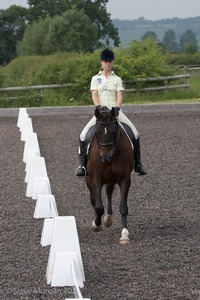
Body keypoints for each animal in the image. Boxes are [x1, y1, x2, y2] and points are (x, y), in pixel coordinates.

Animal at [85, 106, 134, 243]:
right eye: (97, 131)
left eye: (113, 131)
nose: (105, 158)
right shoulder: (96, 179)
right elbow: (98, 207)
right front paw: (96, 225)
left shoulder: (124, 179)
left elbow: (123, 207)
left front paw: (124, 234)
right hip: (88, 179)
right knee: (93, 198)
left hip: (111, 179)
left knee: (109, 192)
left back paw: (108, 218)